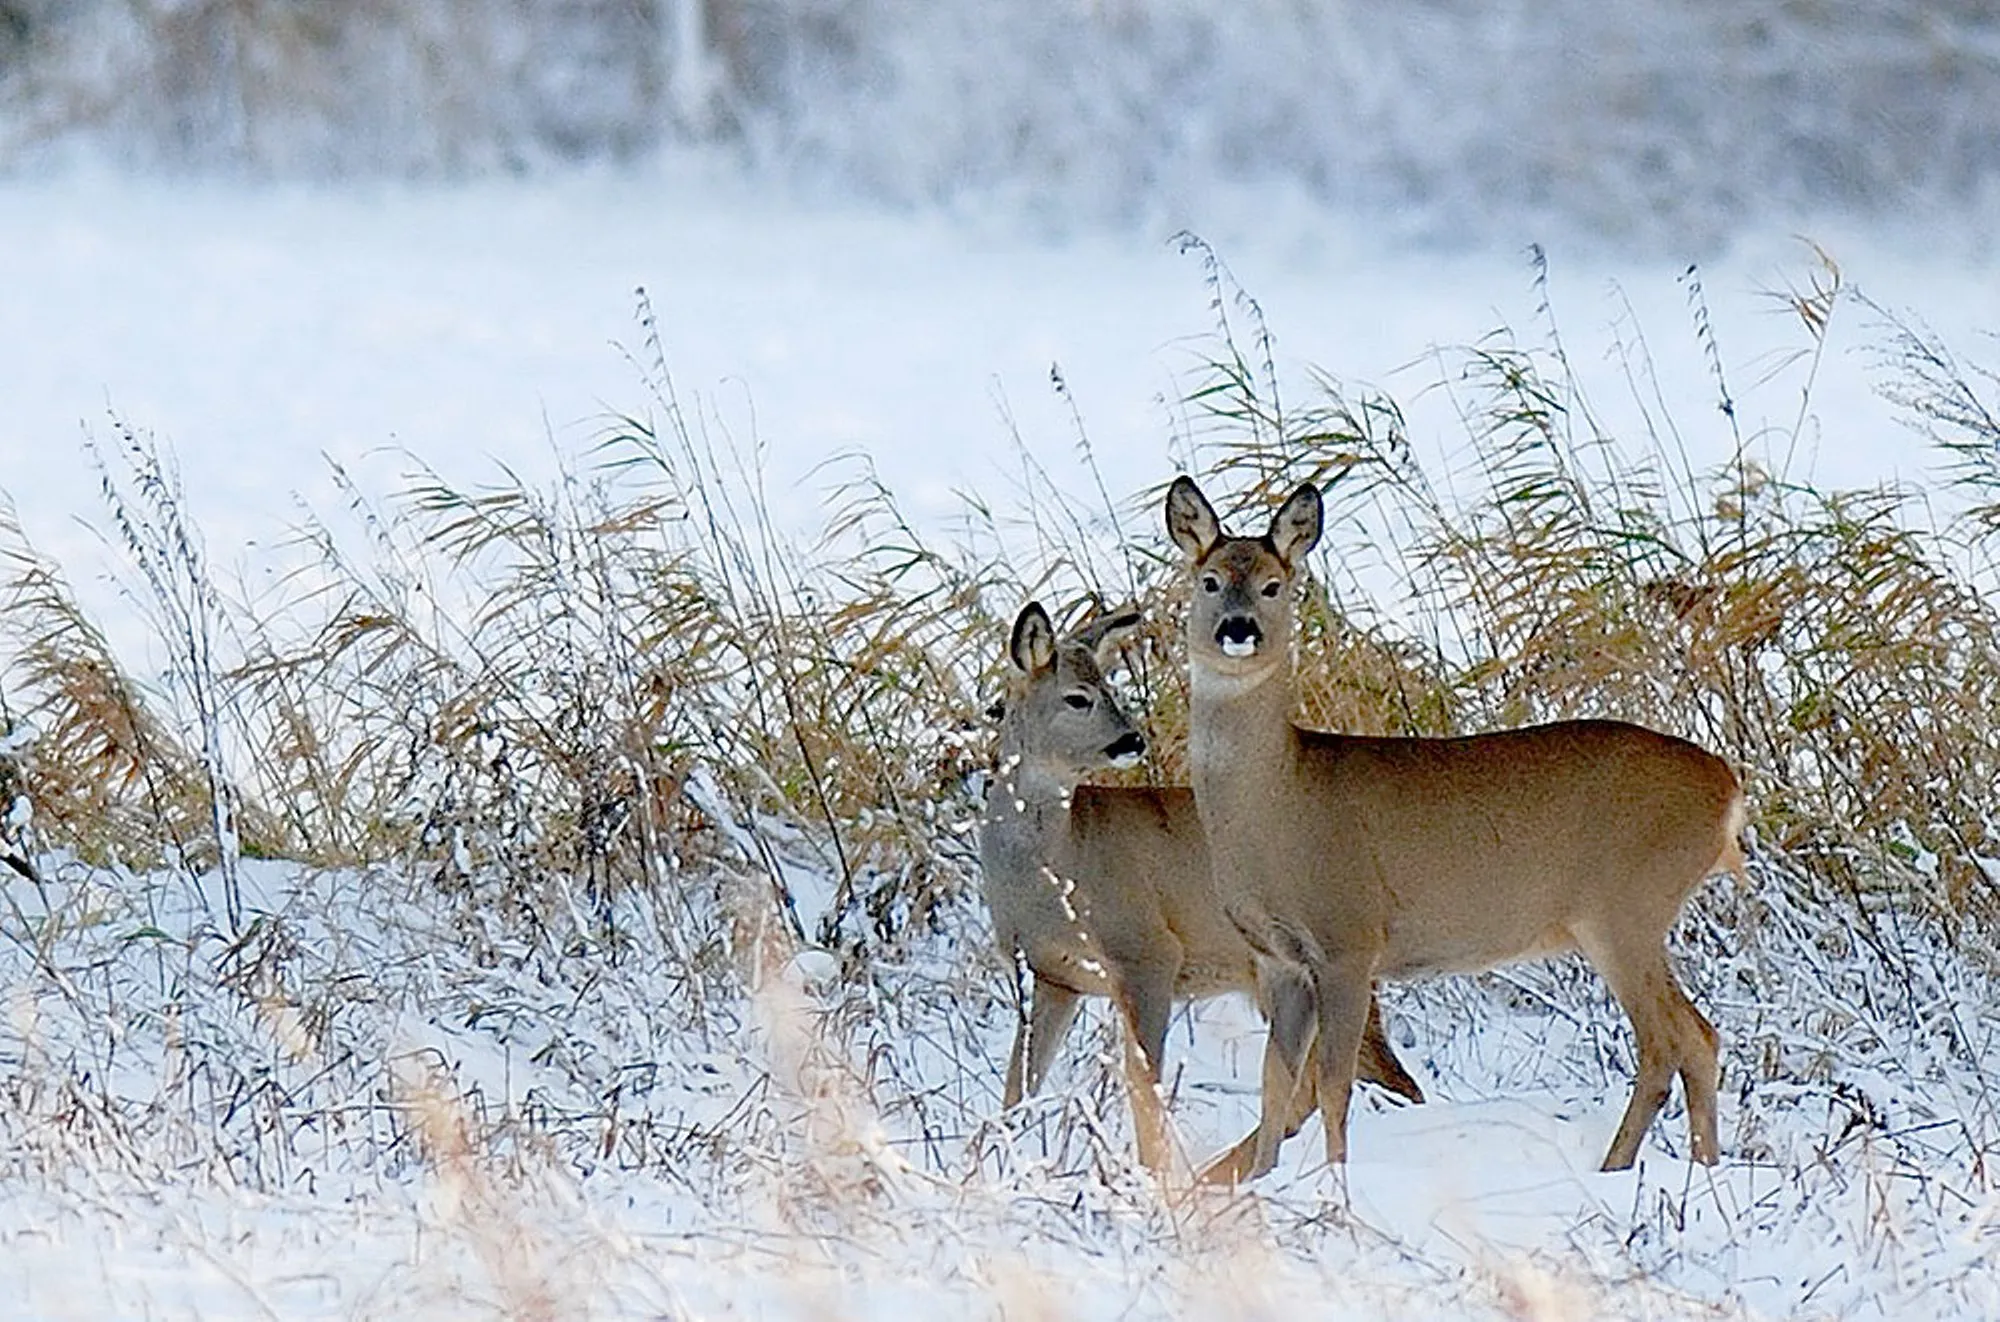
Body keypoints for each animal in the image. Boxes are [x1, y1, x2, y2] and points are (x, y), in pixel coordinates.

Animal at [980, 600, 1424, 1176]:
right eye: (1078, 697)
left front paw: (1151, 1176)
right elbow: (1019, 1084)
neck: (1058, 867)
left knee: (1384, 1079)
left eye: (1111, 689)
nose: (1133, 740)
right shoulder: (1054, 975)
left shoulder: (1147, 952)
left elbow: (1143, 1086)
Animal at [1168, 476, 1744, 1176]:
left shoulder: (1349, 938)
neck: (1277, 804)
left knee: (1669, 1040)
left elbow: (1332, 1083)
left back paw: (1620, 1167)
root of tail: (1727, 787)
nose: (1238, 630)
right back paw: (1701, 1167)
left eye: (1275, 585)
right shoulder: (1278, 958)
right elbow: (1276, 1083)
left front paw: (1335, 1180)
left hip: (1625, 906)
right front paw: (1261, 1182)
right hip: (1632, 915)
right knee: (1700, 1037)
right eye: (1210, 580)